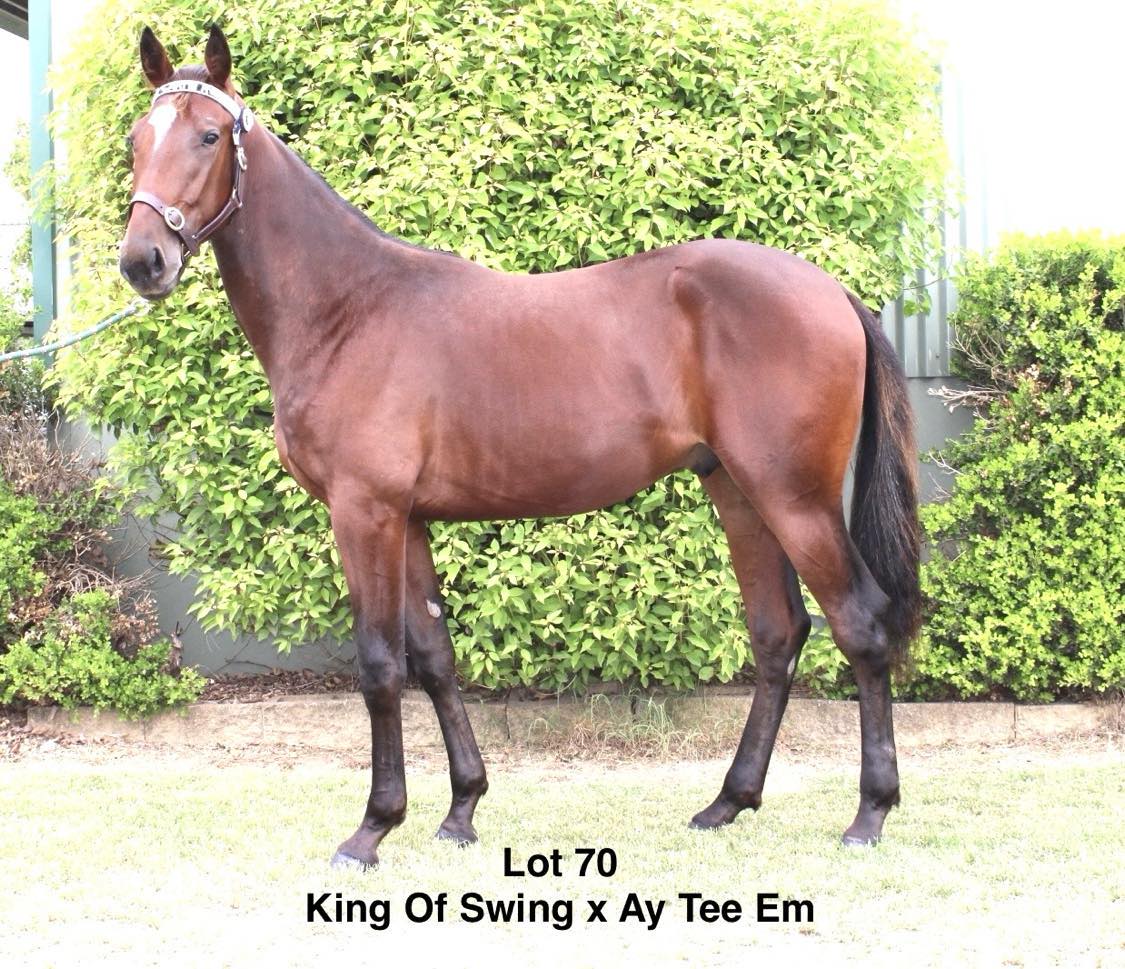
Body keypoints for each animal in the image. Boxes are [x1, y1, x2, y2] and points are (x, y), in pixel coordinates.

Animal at [118, 25, 921, 869]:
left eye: (209, 136)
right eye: (137, 138)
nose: (143, 260)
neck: (348, 308)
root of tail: (831, 292)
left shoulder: (364, 510)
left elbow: (380, 664)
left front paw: (372, 828)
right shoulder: (408, 518)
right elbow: (433, 657)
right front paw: (460, 809)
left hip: (793, 498)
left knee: (860, 626)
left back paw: (868, 813)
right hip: (737, 491)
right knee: (778, 633)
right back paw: (726, 802)